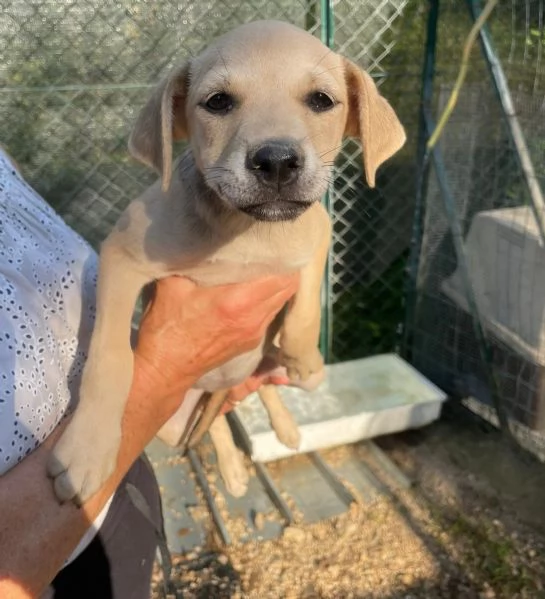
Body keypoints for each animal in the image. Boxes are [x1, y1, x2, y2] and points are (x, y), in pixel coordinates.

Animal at [46, 20, 405, 504]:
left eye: (321, 100)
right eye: (218, 102)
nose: (277, 161)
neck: (248, 231)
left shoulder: (319, 229)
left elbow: (306, 302)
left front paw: (305, 357)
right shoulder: (120, 255)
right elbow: (110, 355)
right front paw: (86, 449)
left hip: (255, 367)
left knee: (257, 390)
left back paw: (287, 423)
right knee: (217, 419)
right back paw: (234, 468)